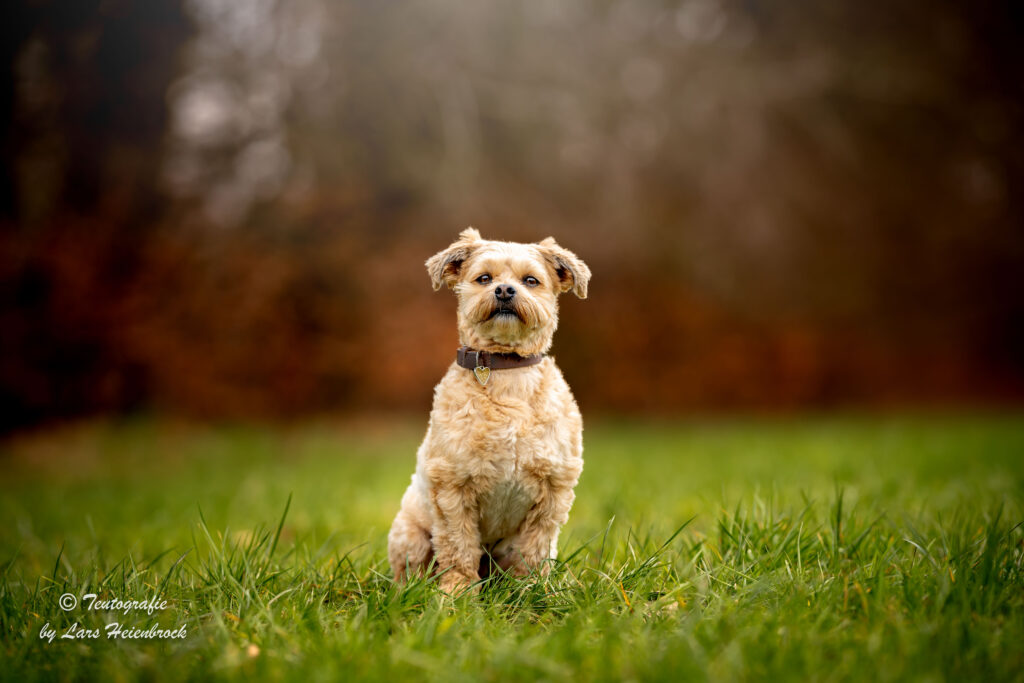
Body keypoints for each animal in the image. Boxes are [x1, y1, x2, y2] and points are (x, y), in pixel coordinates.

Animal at [385, 227, 593, 589]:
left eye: (531, 280)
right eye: (484, 278)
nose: (505, 289)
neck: (506, 370)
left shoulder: (553, 489)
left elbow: (533, 548)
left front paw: (531, 590)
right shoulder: (452, 487)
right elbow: (457, 544)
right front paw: (457, 591)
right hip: (409, 535)